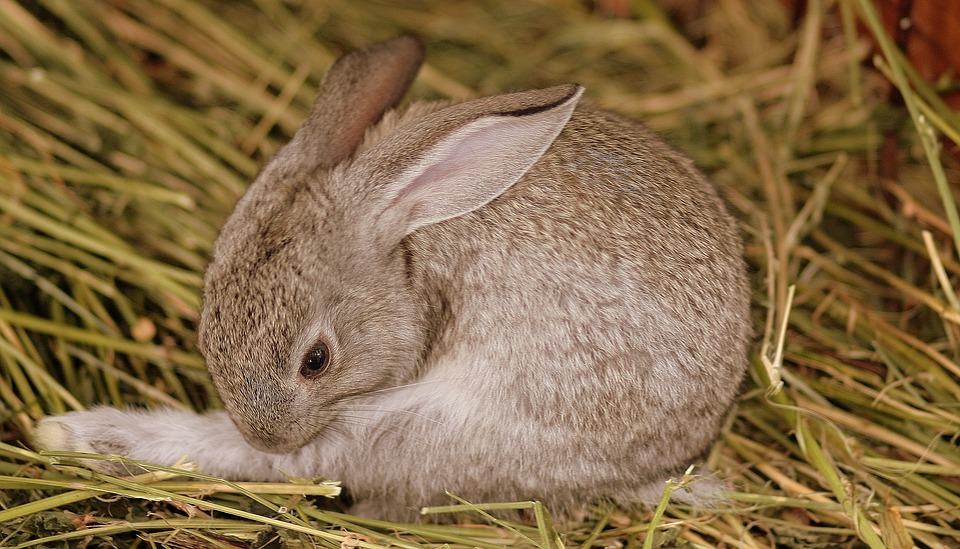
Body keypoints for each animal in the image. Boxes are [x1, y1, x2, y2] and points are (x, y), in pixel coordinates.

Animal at [33, 36, 752, 520]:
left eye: (317, 360)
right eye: (206, 327)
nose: (265, 429)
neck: (410, 250)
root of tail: (665, 459)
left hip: (434, 429)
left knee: (311, 464)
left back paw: (82, 435)